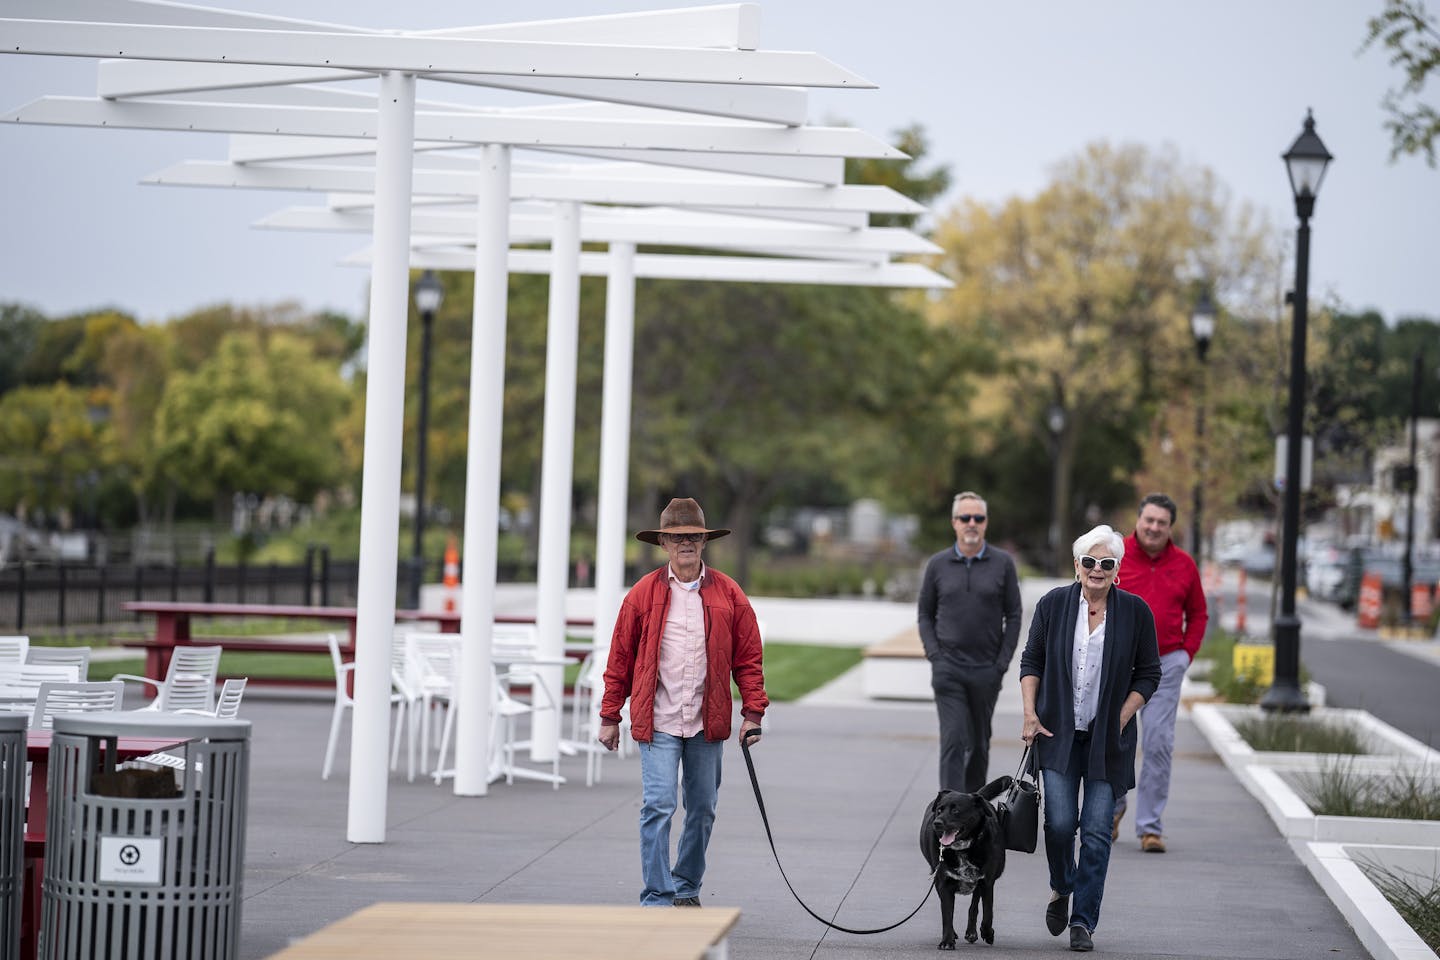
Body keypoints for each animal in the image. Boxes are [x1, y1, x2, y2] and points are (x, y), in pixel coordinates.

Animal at [921, 782, 1013, 955]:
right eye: (939, 810)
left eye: (956, 811)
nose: (937, 823)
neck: (962, 848)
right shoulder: (944, 883)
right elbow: (947, 914)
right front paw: (947, 940)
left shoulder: (987, 882)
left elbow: (988, 912)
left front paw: (987, 933)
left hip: (979, 883)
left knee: (974, 906)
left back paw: (972, 932)